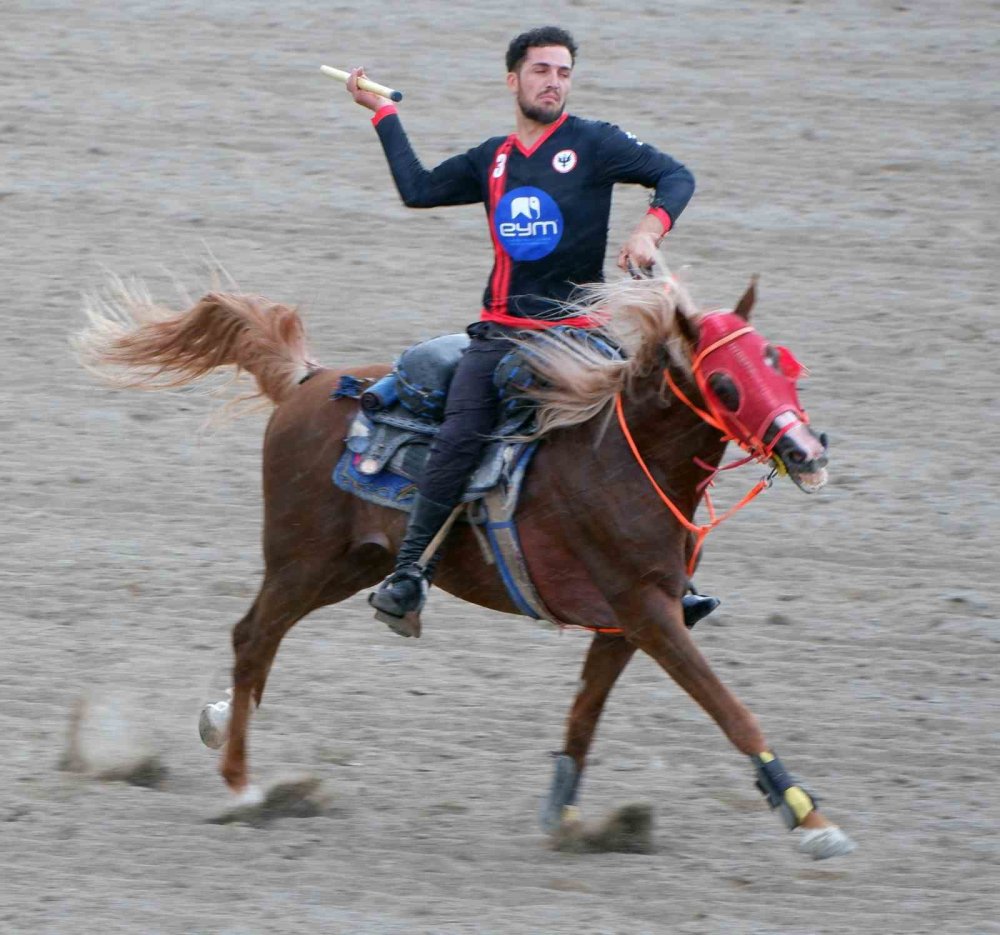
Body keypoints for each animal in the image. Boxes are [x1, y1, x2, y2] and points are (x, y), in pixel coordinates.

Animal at [78, 266, 856, 860]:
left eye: (780, 363)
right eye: (724, 385)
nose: (806, 452)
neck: (619, 461)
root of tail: (309, 380)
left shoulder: (623, 623)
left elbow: (583, 717)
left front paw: (567, 821)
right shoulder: (647, 611)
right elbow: (730, 708)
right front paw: (809, 819)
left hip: (351, 567)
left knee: (263, 645)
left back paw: (219, 725)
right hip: (300, 558)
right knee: (251, 637)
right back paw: (242, 783)